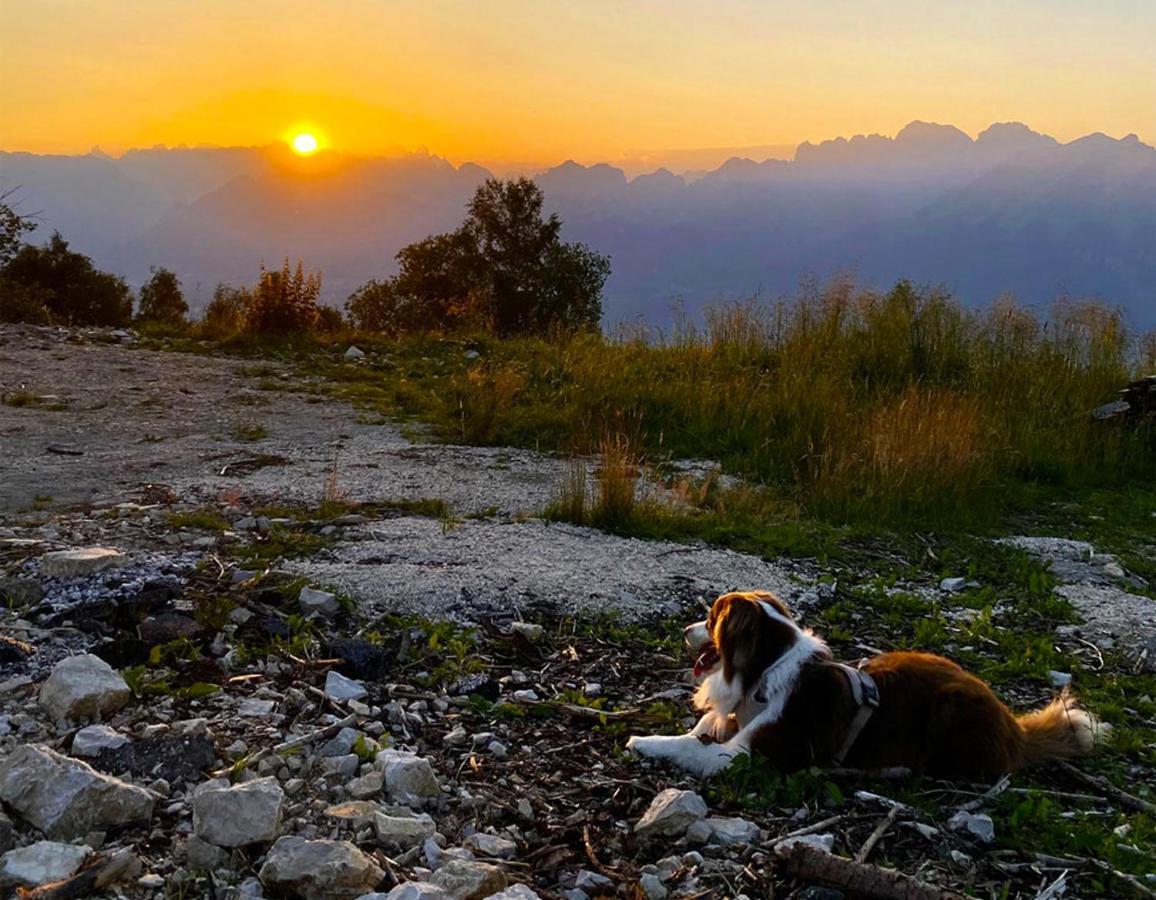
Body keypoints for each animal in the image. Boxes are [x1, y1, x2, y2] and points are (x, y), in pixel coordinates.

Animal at [628, 591, 1105, 776]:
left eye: (710, 619)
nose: (685, 630)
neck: (763, 672)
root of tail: (1014, 727)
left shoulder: (749, 753)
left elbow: (691, 746)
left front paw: (642, 741)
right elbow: (700, 728)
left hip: (951, 709)